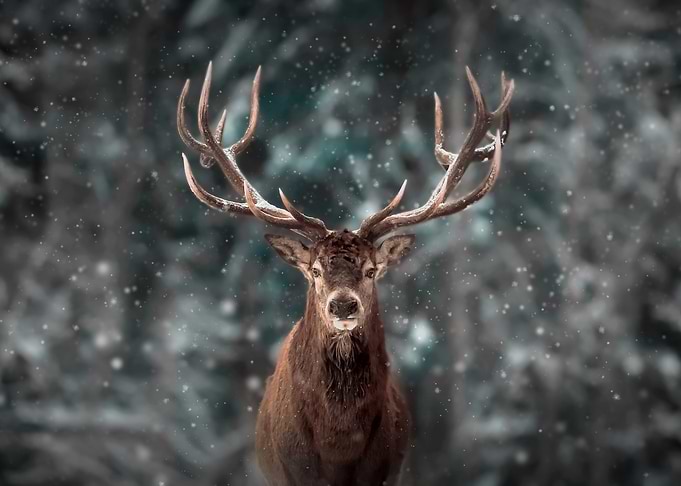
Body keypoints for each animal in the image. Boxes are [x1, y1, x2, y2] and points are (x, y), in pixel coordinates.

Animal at [177, 61, 513, 486]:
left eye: (371, 271)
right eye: (315, 270)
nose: (342, 306)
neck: (339, 446)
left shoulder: (387, 471)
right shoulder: (292, 473)